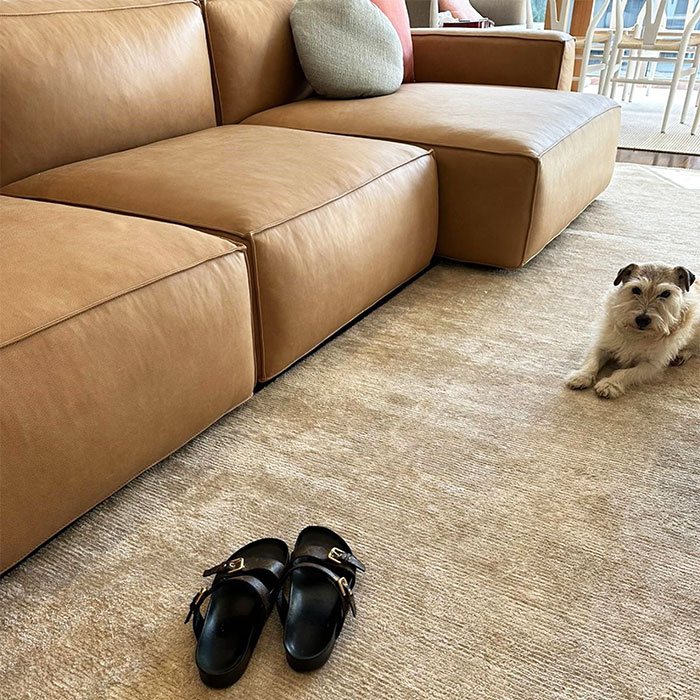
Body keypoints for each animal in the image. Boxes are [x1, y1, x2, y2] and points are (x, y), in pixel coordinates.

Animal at [568, 264, 696, 400]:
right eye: (636, 289)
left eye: (666, 293)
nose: (642, 319)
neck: (636, 333)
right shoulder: (603, 345)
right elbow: (592, 361)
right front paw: (581, 376)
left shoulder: (651, 365)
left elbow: (625, 373)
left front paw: (609, 384)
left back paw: (682, 355)